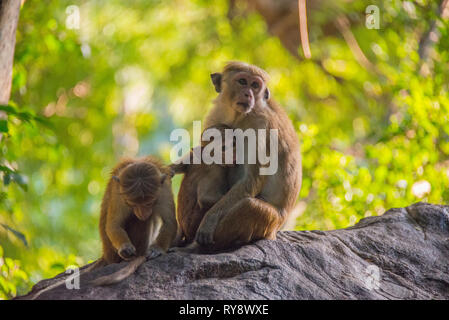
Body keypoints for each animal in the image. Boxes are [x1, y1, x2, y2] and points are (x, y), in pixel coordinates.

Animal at [172, 62, 300, 252]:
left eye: (255, 85)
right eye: (242, 81)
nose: (248, 94)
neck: (239, 115)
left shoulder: (260, 124)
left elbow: (250, 181)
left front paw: (209, 219)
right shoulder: (216, 114)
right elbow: (202, 148)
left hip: (269, 223)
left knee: (250, 206)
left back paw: (196, 247)